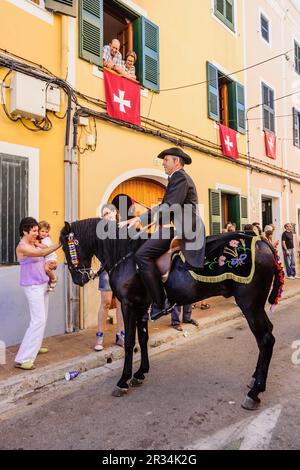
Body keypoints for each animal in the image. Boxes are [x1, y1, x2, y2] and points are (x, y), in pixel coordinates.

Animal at [61, 218, 284, 410]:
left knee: (265, 339)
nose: (78, 279)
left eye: (67, 247)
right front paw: (140, 373)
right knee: (268, 334)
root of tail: (262, 242)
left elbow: (129, 342)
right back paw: (255, 380)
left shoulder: (128, 305)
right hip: (256, 305)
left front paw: (123, 380)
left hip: (250, 304)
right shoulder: (141, 305)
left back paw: (255, 392)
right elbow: (143, 338)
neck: (126, 257)